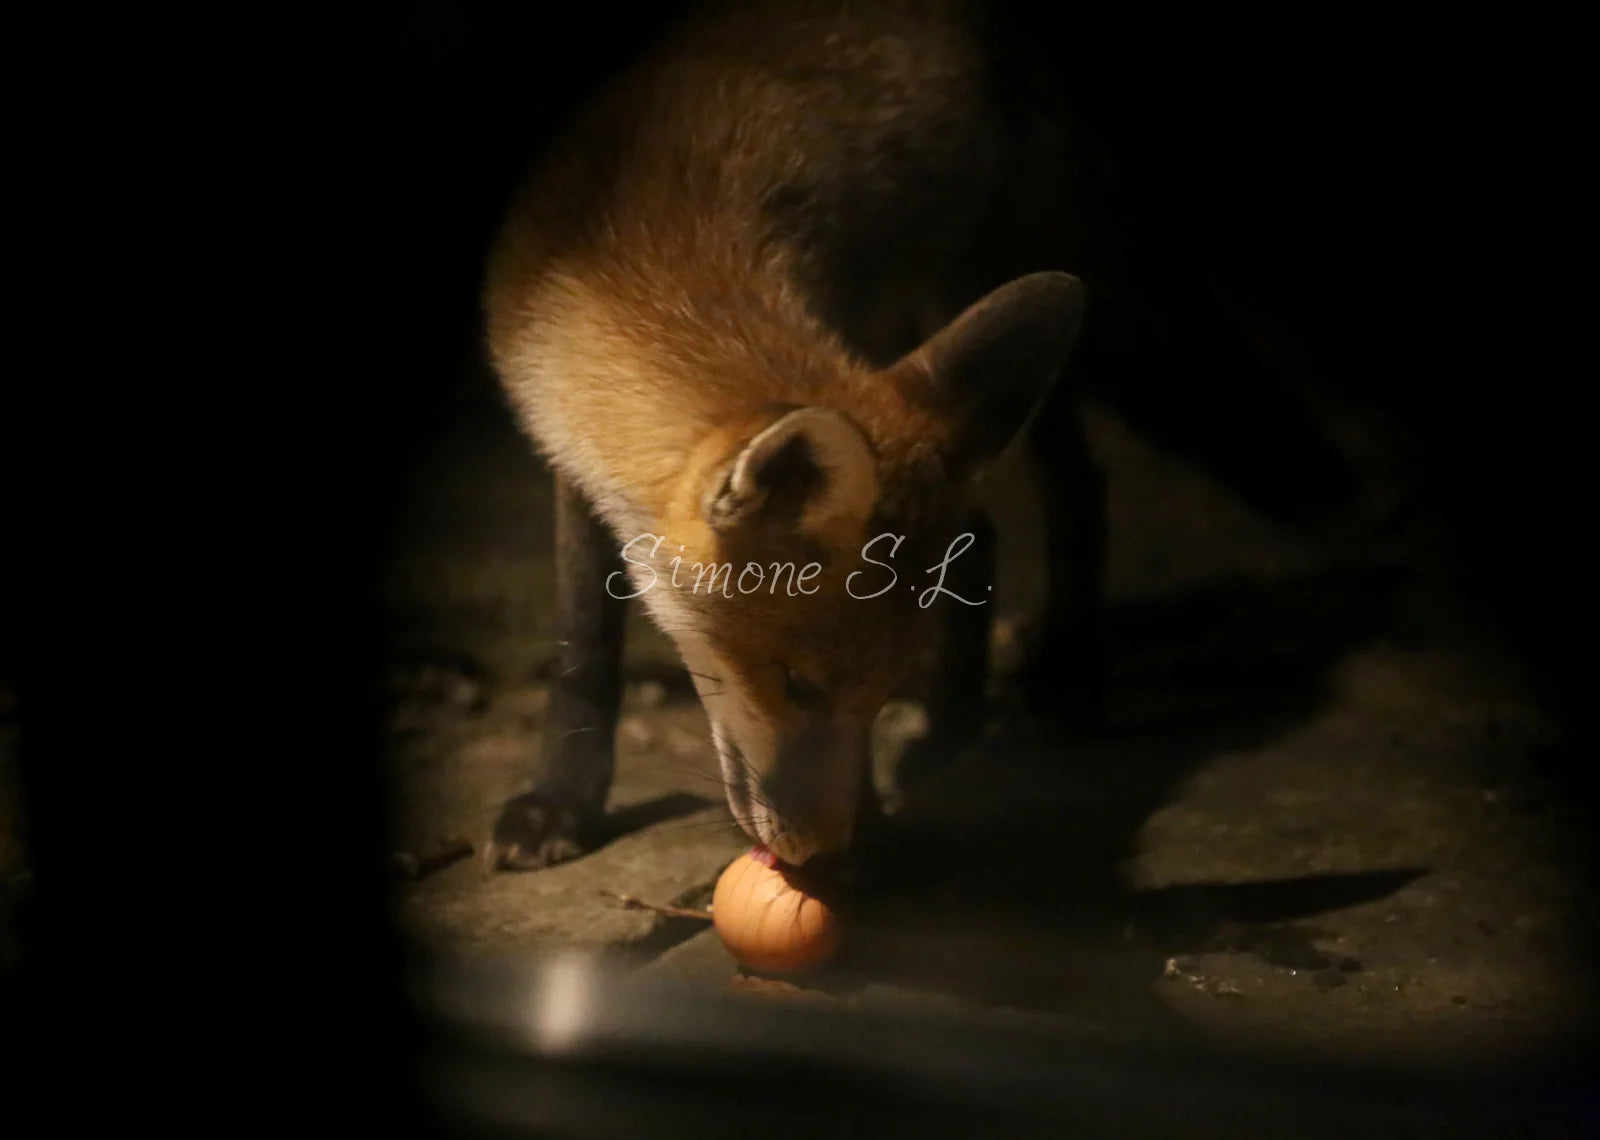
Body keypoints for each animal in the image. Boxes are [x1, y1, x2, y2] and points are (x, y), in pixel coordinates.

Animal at [482, 0, 1107, 871]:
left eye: (880, 689)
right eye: (800, 685)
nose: (829, 856)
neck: (651, 239)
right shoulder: (571, 449)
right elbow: (583, 644)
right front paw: (560, 800)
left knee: (1077, 486)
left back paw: (1065, 676)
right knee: (983, 533)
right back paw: (953, 725)